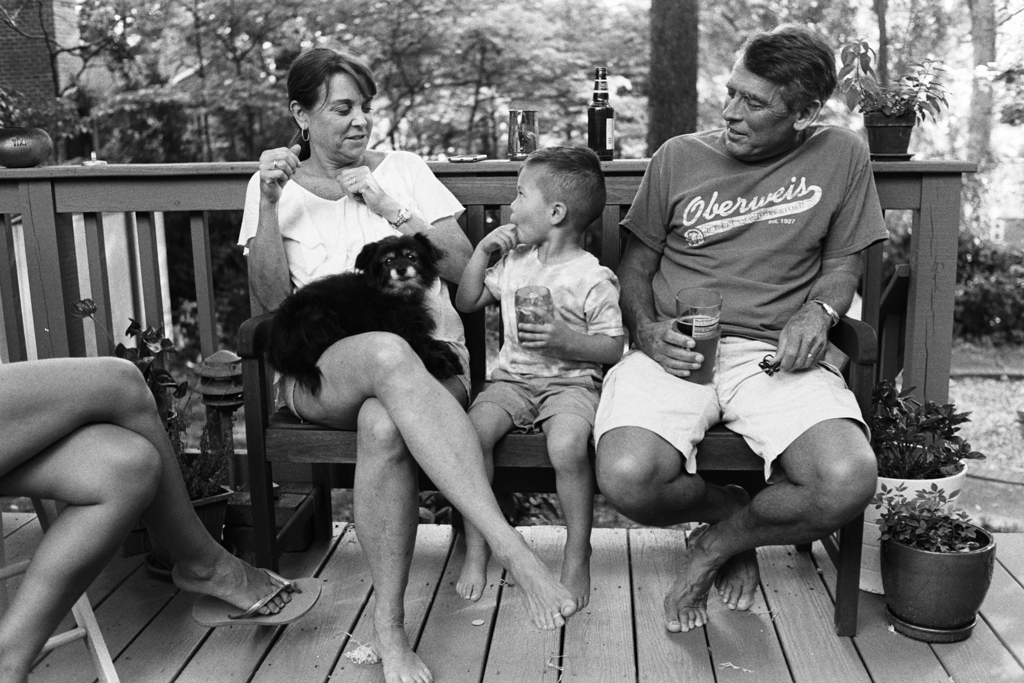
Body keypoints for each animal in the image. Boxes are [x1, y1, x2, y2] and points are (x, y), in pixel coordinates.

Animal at [268, 233, 464, 395]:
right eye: (388, 261)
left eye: (411, 256)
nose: (400, 269)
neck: (398, 297)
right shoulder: (398, 331)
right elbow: (421, 346)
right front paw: (441, 364)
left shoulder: (415, 329)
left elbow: (435, 342)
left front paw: (452, 357)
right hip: (317, 313)